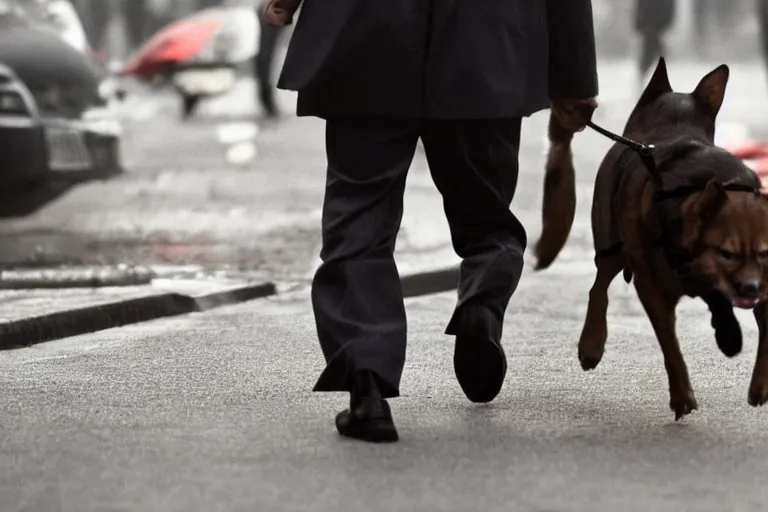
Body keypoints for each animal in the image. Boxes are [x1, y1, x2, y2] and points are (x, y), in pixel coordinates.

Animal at [536, 58, 768, 420]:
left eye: (760, 254)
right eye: (726, 254)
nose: (750, 289)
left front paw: (758, 383)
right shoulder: (653, 286)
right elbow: (670, 344)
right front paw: (682, 395)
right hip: (610, 240)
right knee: (599, 285)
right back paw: (592, 343)